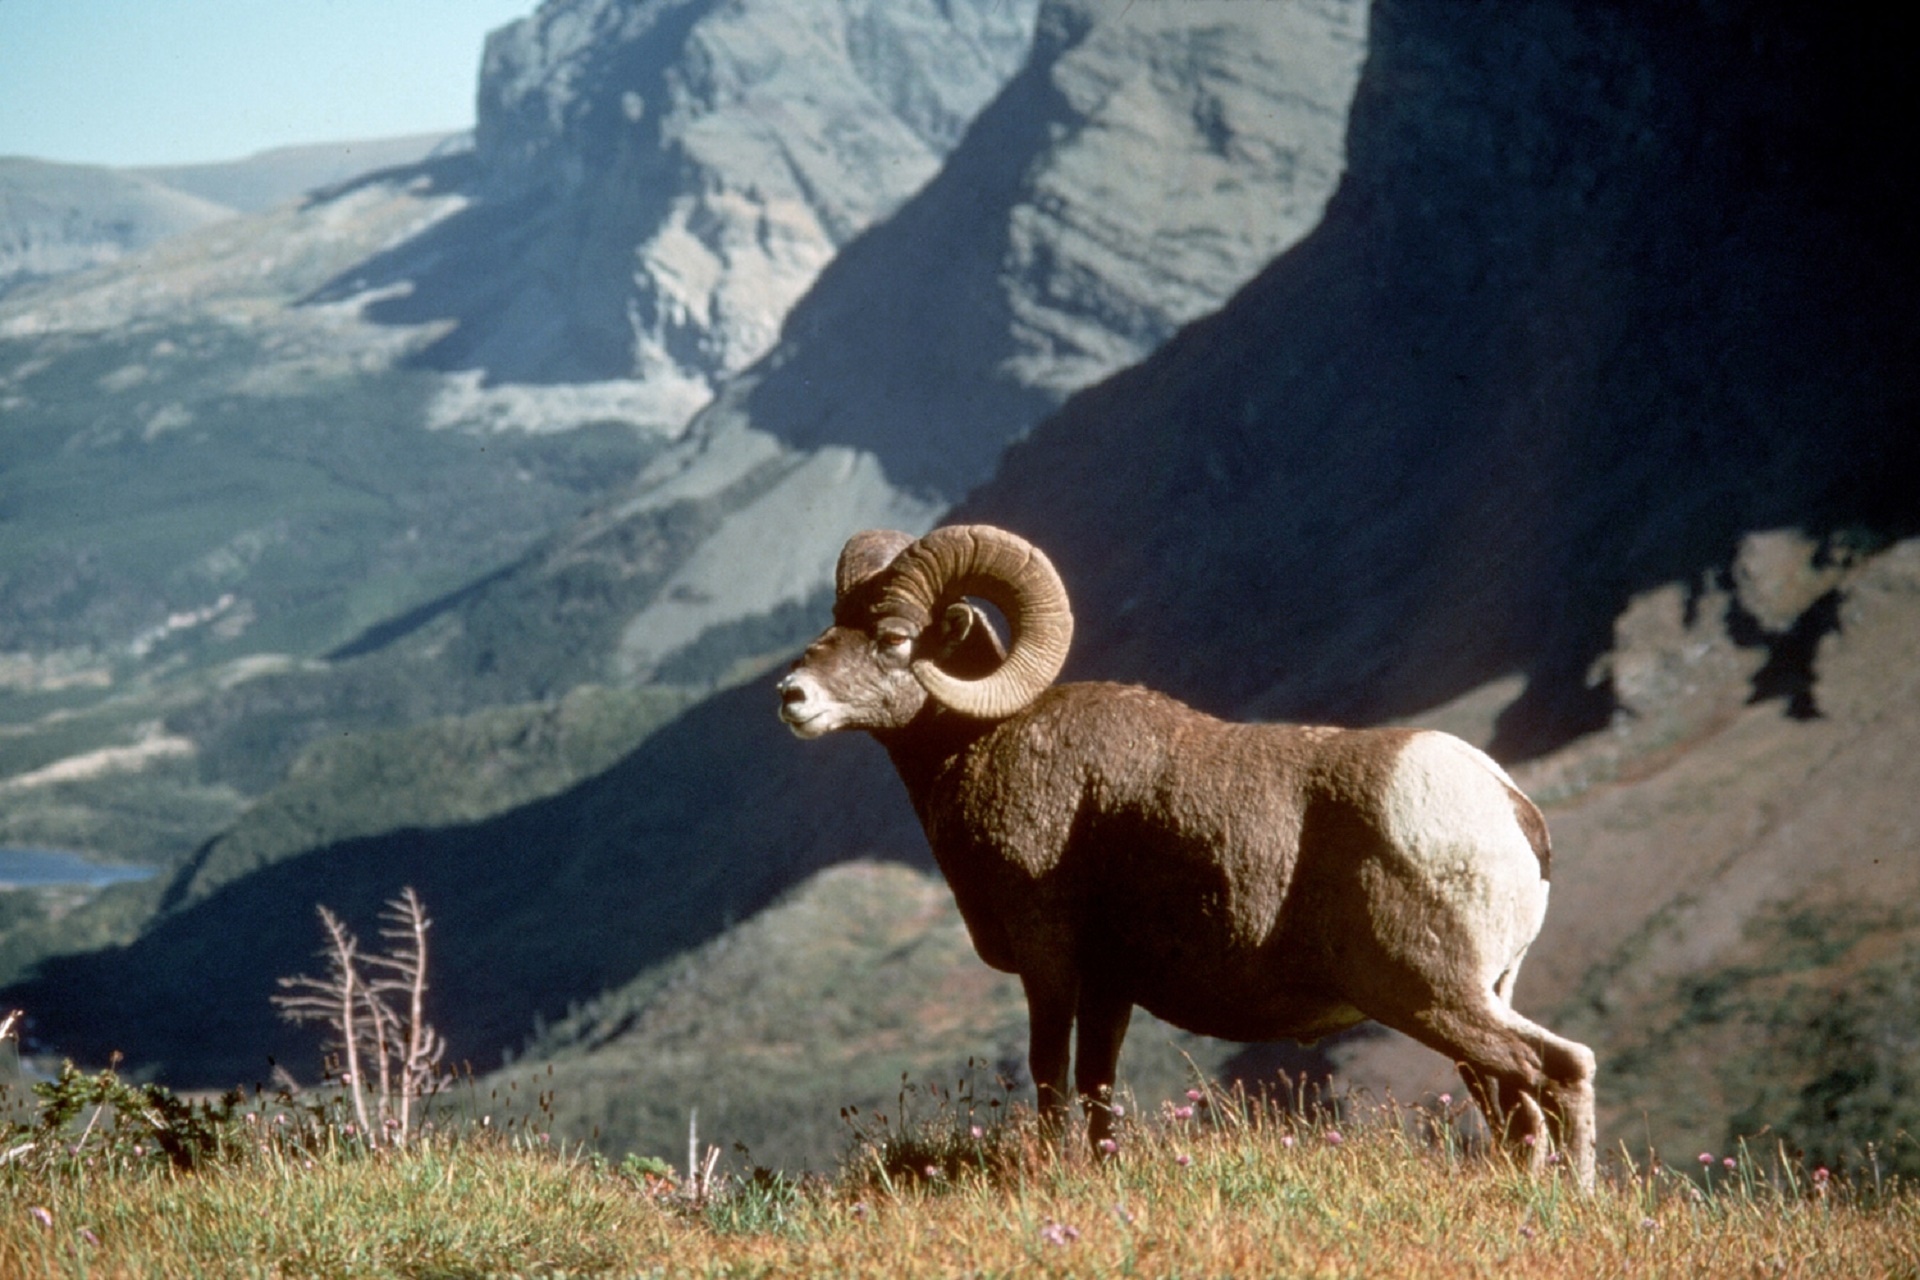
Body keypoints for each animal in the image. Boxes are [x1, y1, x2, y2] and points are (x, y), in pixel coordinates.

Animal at [771, 525, 1597, 1189]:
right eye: (837, 622)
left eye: (893, 638)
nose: (792, 695)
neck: (985, 744)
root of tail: (1511, 810)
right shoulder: (1110, 985)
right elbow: (1098, 1086)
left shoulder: (1051, 961)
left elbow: (1050, 1073)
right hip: (1472, 1000)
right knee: (1520, 1105)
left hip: (1431, 996)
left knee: (1559, 1070)